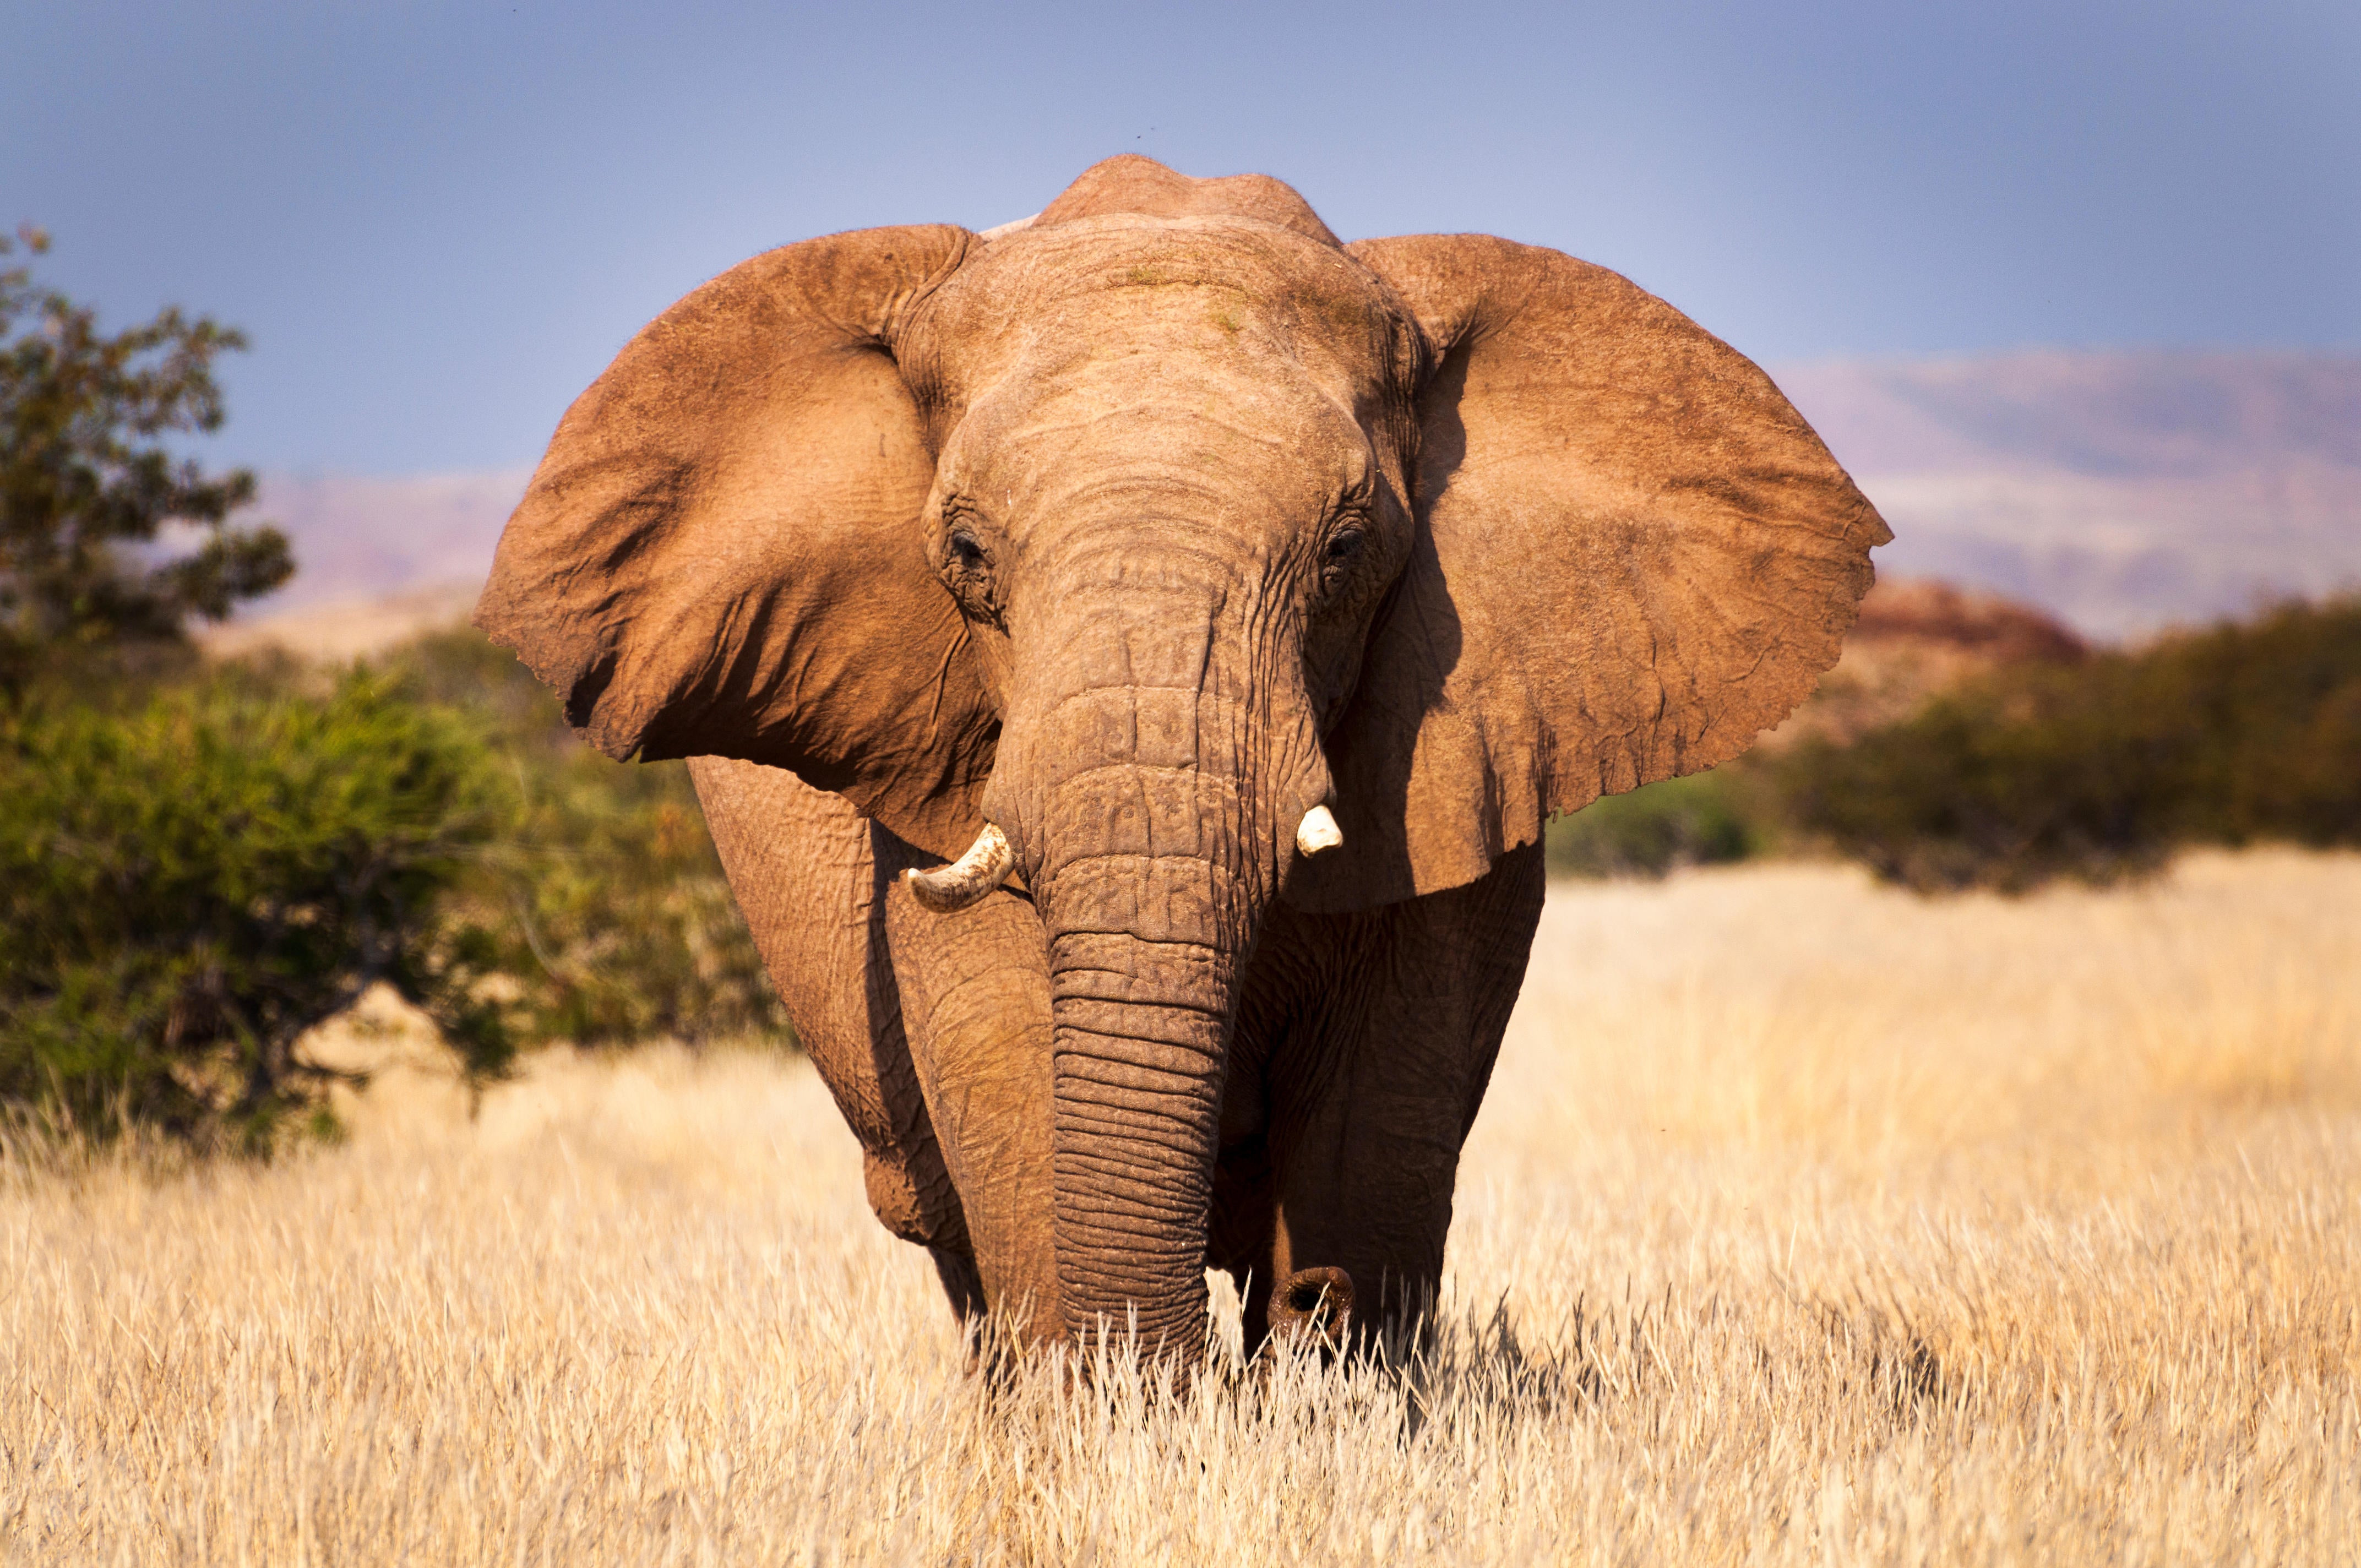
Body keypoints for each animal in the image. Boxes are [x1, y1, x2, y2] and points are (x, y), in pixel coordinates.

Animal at [470, 156, 1889, 1360]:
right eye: (965, 553)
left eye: (1345, 548)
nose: (1210, 1350)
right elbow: (1011, 1069)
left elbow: (1376, 1125)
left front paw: (1322, 1373)